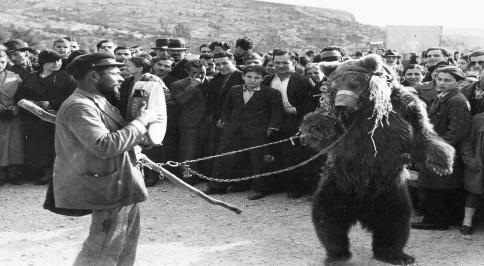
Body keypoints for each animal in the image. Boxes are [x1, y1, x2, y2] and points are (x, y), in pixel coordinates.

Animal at [302, 54, 458, 264]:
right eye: (334, 87)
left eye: (353, 83)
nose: (341, 104)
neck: (364, 109)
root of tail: (361, 210)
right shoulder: (345, 129)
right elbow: (328, 132)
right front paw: (314, 126)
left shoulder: (405, 109)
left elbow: (421, 133)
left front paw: (441, 165)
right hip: (338, 182)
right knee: (328, 215)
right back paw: (337, 254)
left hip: (390, 187)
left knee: (395, 220)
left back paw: (396, 255)